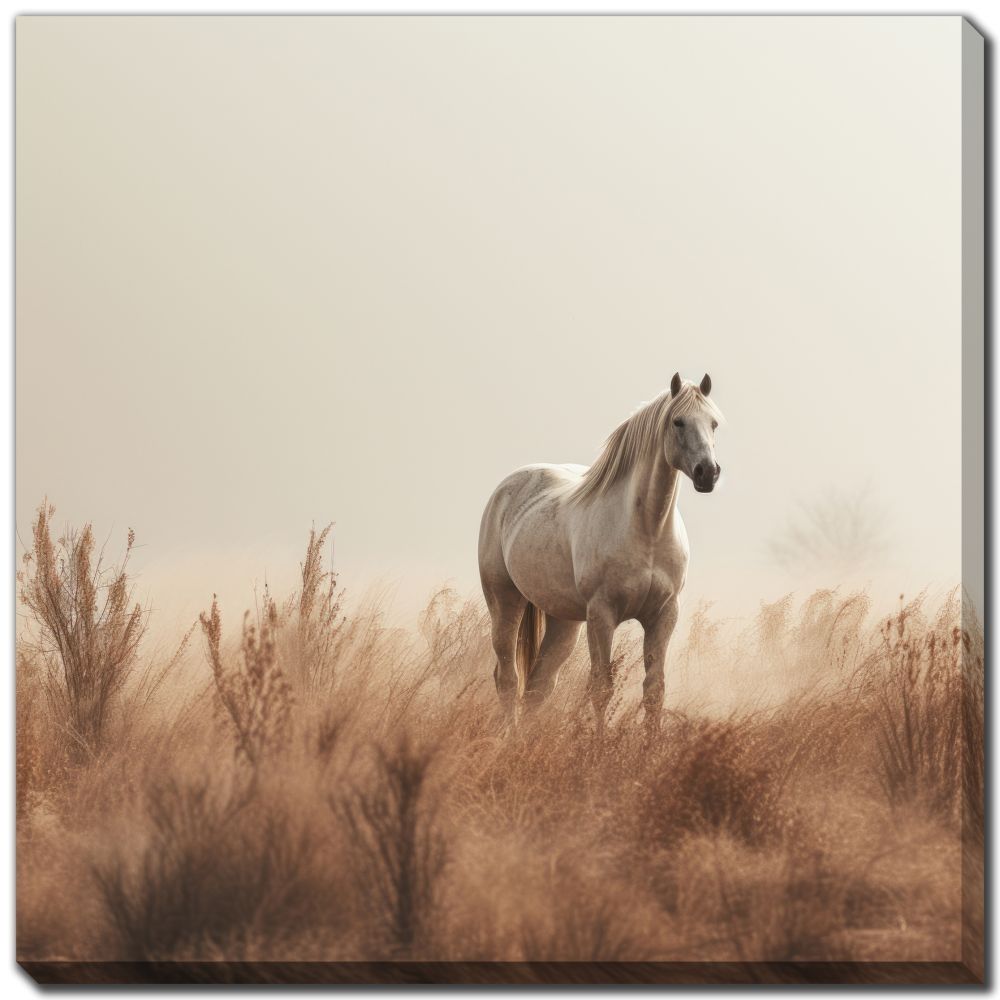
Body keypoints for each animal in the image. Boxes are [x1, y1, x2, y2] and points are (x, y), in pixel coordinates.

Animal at [478, 372, 723, 725]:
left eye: (713, 423)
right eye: (678, 421)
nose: (708, 473)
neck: (647, 530)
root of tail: (506, 489)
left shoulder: (664, 614)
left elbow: (654, 691)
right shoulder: (602, 615)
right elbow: (601, 689)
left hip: (563, 622)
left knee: (539, 686)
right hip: (504, 601)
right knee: (508, 679)